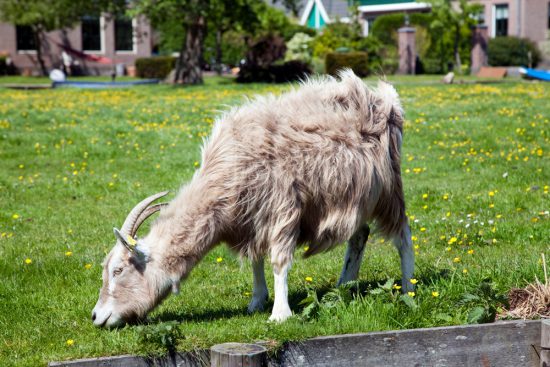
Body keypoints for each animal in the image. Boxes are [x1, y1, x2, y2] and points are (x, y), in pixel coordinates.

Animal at [92, 69, 416, 328]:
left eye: (118, 270)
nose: (96, 317)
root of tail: (384, 98)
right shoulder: (251, 219)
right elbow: (256, 260)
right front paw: (257, 301)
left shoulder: (282, 208)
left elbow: (278, 261)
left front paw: (280, 314)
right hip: (357, 196)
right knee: (359, 234)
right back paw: (344, 286)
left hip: (389, 189)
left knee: (403, 235)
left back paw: (408, 288)